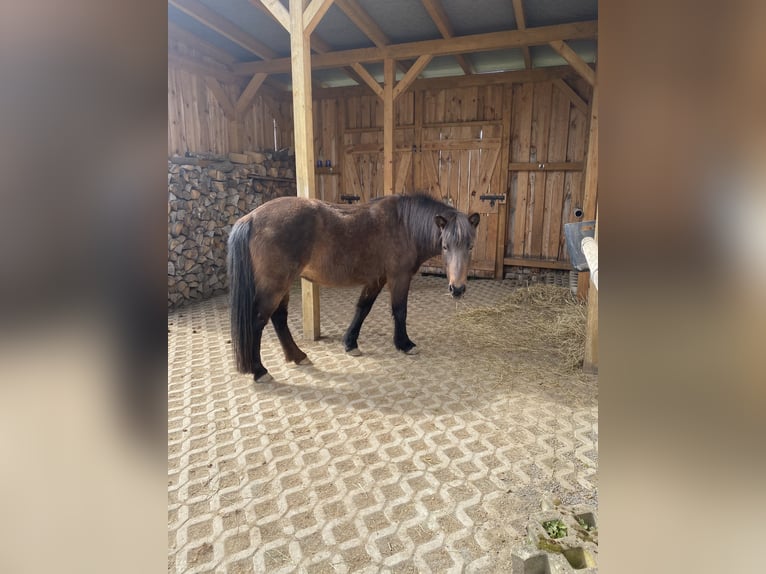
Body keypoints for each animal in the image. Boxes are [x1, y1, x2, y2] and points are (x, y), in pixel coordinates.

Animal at [226, 193, 480, 383]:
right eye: (445, 246)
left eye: (470, 246)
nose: (457, 289)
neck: (404, 225)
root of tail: (251, 218)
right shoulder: (399, 277)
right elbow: (399, 311)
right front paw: (405, 344)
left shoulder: (376, 279)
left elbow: (362, 308)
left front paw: (350, 343)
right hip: (275, 285)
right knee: (258, 321)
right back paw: (259, 370)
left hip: (284, 284)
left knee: (279, 318)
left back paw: (298, 356)